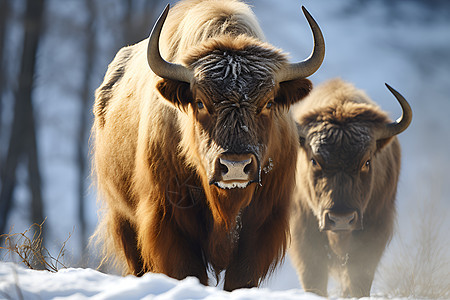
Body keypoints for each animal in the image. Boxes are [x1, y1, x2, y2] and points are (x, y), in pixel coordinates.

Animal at [91, 0, 324, 290]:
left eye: (269, 102)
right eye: (200, 102)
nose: (235, 166)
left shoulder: (262, 225)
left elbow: (241, 277)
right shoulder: (169, 223)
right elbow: (187, 270)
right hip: (122, 219)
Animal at [290, 79, 414, 298]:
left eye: (366, 162)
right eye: (314, 160)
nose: (341, 219)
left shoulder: (374, 229)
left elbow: (358, 278)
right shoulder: (303, 232)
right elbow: (314, 277)